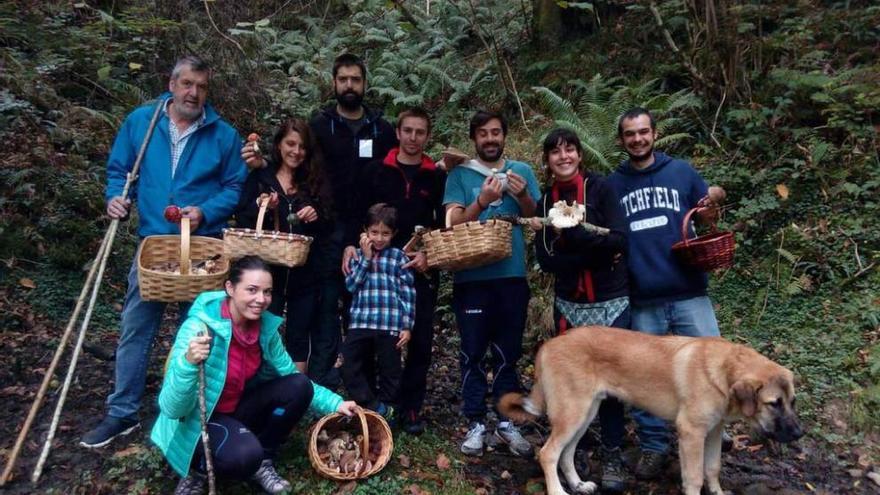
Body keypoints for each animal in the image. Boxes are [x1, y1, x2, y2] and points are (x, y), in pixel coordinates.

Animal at [498, 328, 800, 494]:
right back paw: (558, 491)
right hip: (572, 413)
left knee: (566, 454)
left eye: (792, 401)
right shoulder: (691, 433)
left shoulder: (713, 431)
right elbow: (694, 477)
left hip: (584, 414)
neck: (723, 371)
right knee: (548, 453)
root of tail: (549, 344)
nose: (799, 434)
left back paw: (578, 484)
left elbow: (712, 469)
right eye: (774, 403)